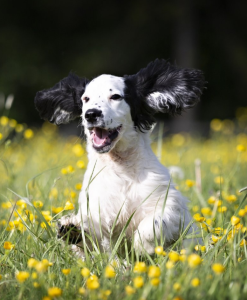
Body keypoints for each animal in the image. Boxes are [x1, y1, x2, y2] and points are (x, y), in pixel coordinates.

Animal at [34, 59, 205, 256]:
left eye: (116, 96)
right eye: (85, 99)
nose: (91, 114)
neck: (121, 168)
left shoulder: (170, 205)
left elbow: (154, 222)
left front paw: (144, 245)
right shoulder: (98, 209)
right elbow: (92, 235)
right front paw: (73, 230)